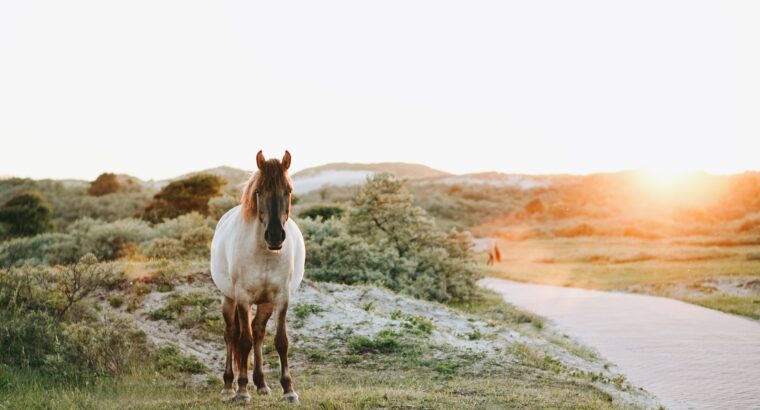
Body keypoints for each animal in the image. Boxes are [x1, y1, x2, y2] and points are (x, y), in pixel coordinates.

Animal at [211, 151, 306, 404]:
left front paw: (288, 389)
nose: (275, 236)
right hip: (229, 299)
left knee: (259, 333)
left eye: (288, 191)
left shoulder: (282, 298)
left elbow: (281, 341)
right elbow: (243, 341)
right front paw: (242, 391)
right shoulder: (243, 299)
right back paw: (229, 386)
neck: (265, 254)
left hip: (265, 303)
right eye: (259, 191)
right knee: (231, 334)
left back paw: (262, 383)